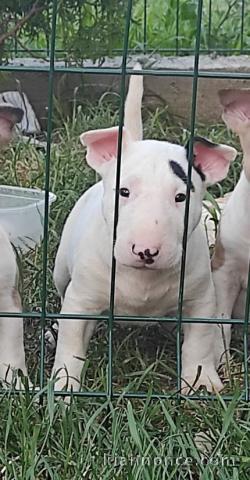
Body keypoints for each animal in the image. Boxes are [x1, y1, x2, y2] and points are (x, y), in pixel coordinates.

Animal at [52, 67, 236, 394]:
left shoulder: (201, 297)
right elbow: (71, 344)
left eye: (181, 197)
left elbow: (199, 341)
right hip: (61, 271)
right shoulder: (81, 299)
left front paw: (201, 381)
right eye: (124, 191)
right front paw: (64, 387)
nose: (146, 251)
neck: (142, 280)